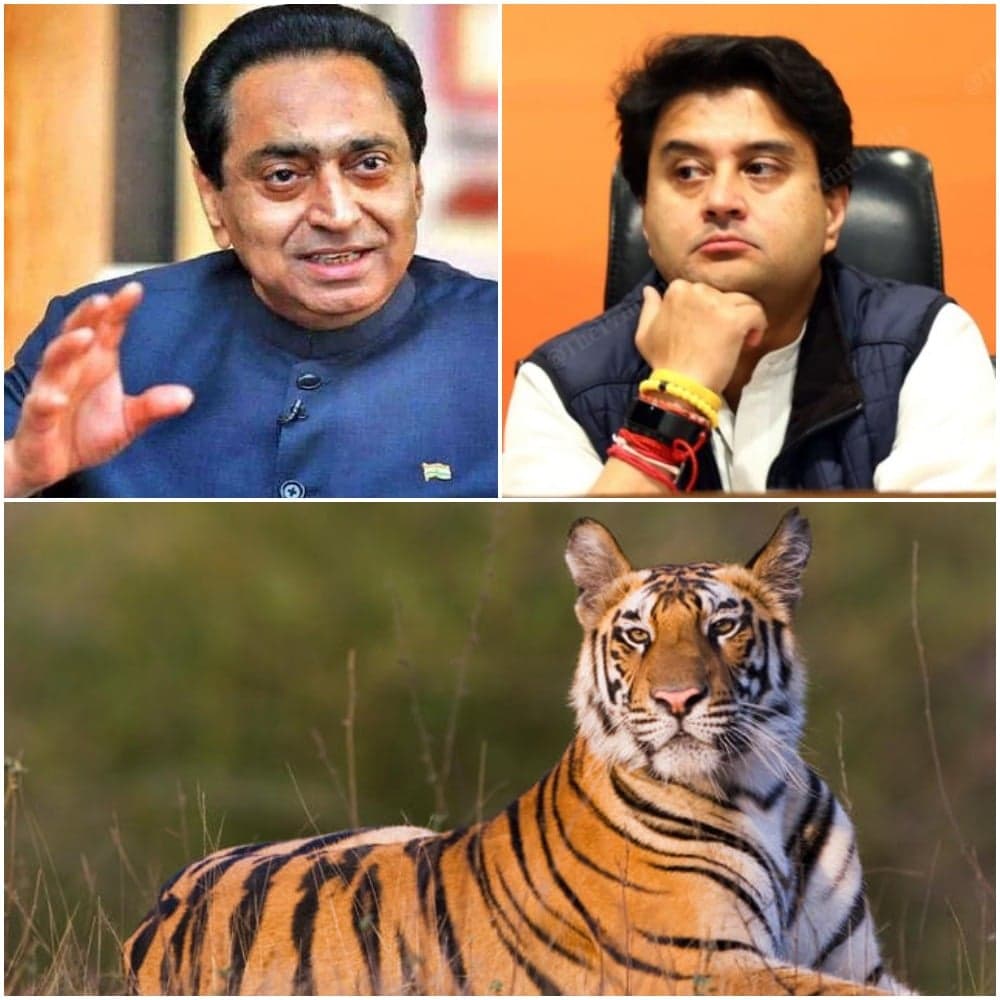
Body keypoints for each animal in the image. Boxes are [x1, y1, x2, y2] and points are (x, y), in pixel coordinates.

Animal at [123, 508, 908, 995]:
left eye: (723, 627)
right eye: (638, 636)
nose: (677, 700)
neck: (758, 791)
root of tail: (152, 921)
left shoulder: (855, 962)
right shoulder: (702, 966)